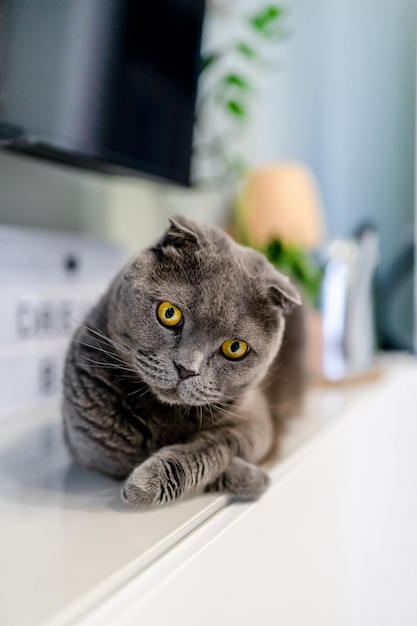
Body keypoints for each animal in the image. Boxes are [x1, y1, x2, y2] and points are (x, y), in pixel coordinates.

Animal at [63, 217, 308, 504]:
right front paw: (254, 479)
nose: (185, 369)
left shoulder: (257, 420)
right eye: (169, 313)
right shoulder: (95, 448)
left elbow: (218, 443)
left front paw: (146, 482)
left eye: (235, 348)